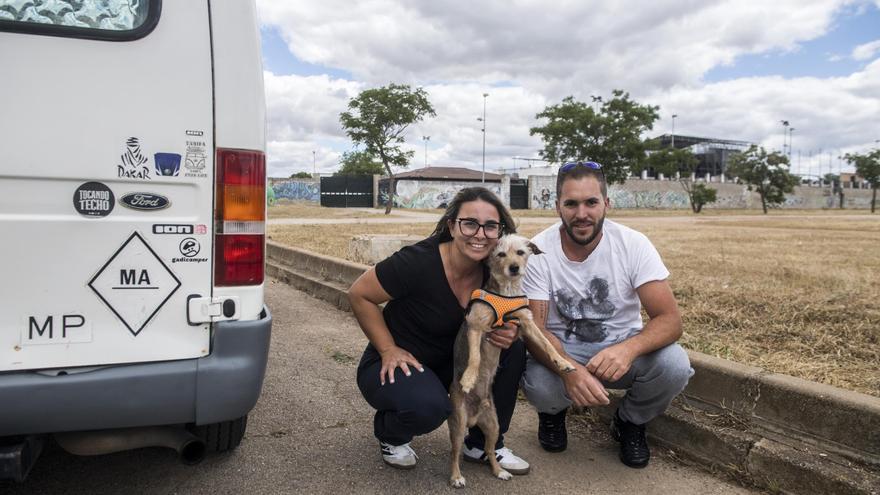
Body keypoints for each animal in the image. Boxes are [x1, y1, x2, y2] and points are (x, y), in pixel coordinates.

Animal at [446, 235, 576, 488]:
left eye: (521, 253)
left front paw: (562, 362)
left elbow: (546, 344)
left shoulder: (526, 323)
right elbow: (475, 357)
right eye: (500, 255)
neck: (506, 292)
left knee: (489, 449)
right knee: (454, 452)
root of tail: (475, 416)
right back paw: (456, 477)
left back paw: (499, 471)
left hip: (493, 426)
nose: (514, 268)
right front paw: (469, 378)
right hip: (458, 422)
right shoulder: (476, 326)